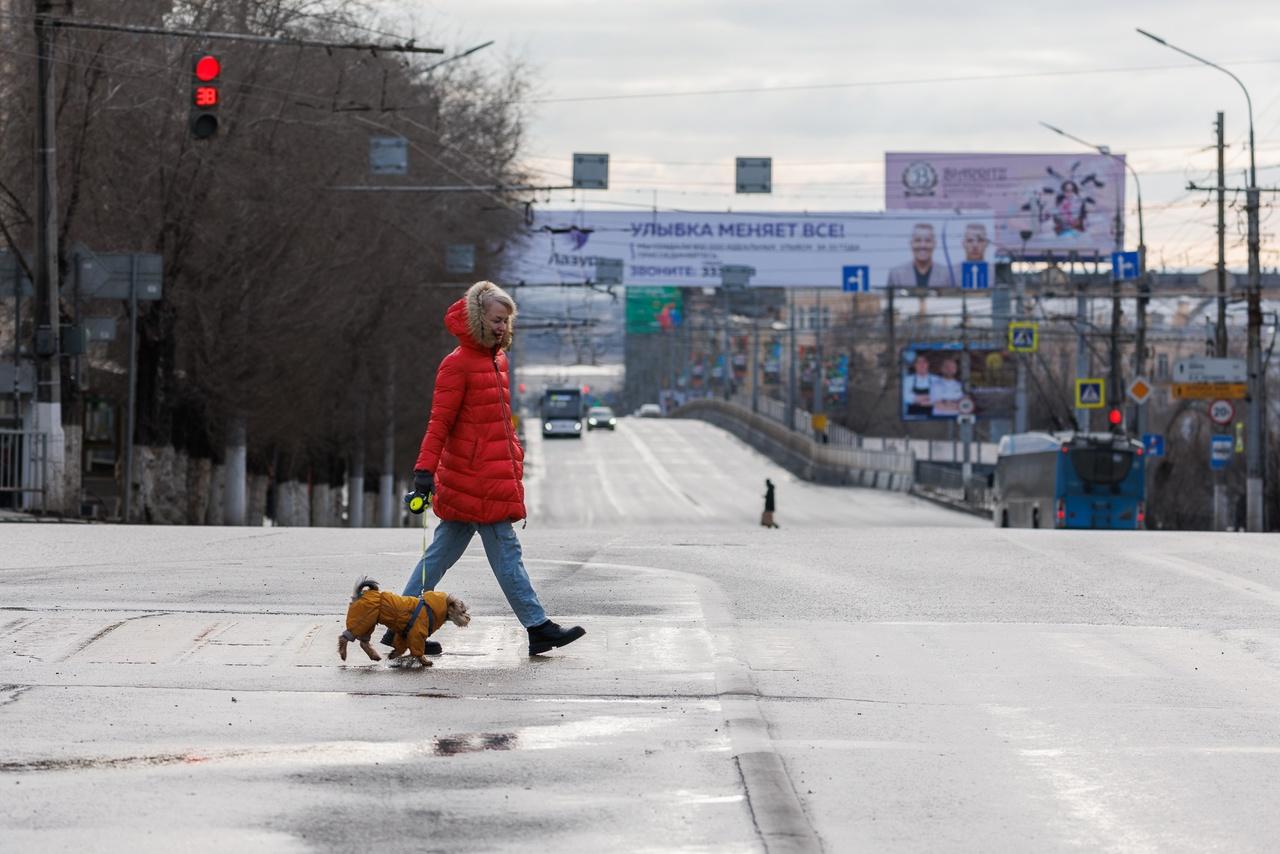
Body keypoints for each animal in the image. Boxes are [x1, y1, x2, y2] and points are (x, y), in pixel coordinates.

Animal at [337, 573, 473, 665]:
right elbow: (417, 649)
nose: (469, 618)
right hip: (362, 620)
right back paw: (343, 653)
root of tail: (359, 595)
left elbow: (401, 647)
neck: (431, 609)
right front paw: (424, 660)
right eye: (463, 611)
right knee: (344, 637)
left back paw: (374, 656)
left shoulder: (403, 634)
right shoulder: (417, 633)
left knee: (363, 642)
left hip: (369, 622)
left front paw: (394, 654)